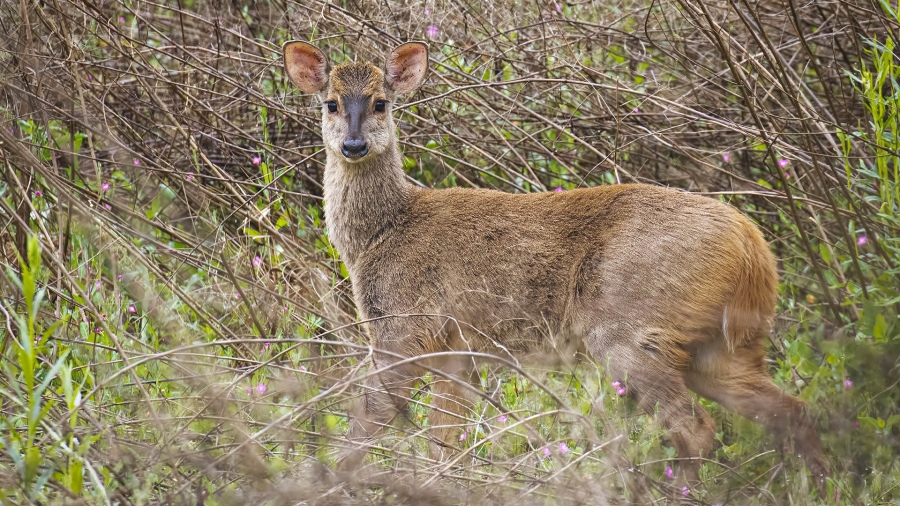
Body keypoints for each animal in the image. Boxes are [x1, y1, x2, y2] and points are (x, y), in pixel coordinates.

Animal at [282, 39, 828, 494]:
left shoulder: (403, 326)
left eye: (381, 103)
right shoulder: (456, 349)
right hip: (722, 346)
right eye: (331, 103)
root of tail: (752, 245)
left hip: (630, 327)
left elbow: (367, 423)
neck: (380, 232)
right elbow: (446, 441)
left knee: (695, 428)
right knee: (792, 411)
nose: (353, 145)